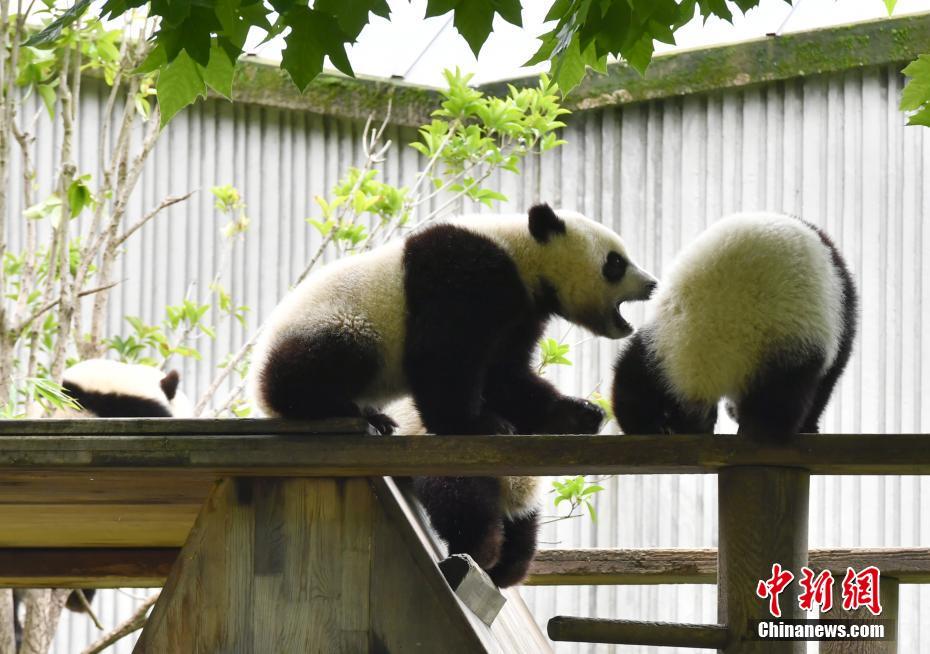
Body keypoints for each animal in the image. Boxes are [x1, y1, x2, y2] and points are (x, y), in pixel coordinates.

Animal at [250, 204, 656, 440]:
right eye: (616, 263)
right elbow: (442, 355)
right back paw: (345, 409)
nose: (652, 284)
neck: (522, 254)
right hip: (340, 321)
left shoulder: (520, 312)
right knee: (329, 356)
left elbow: (504, 372)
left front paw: (577, 414)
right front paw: (476, 424)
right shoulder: (462, 274)